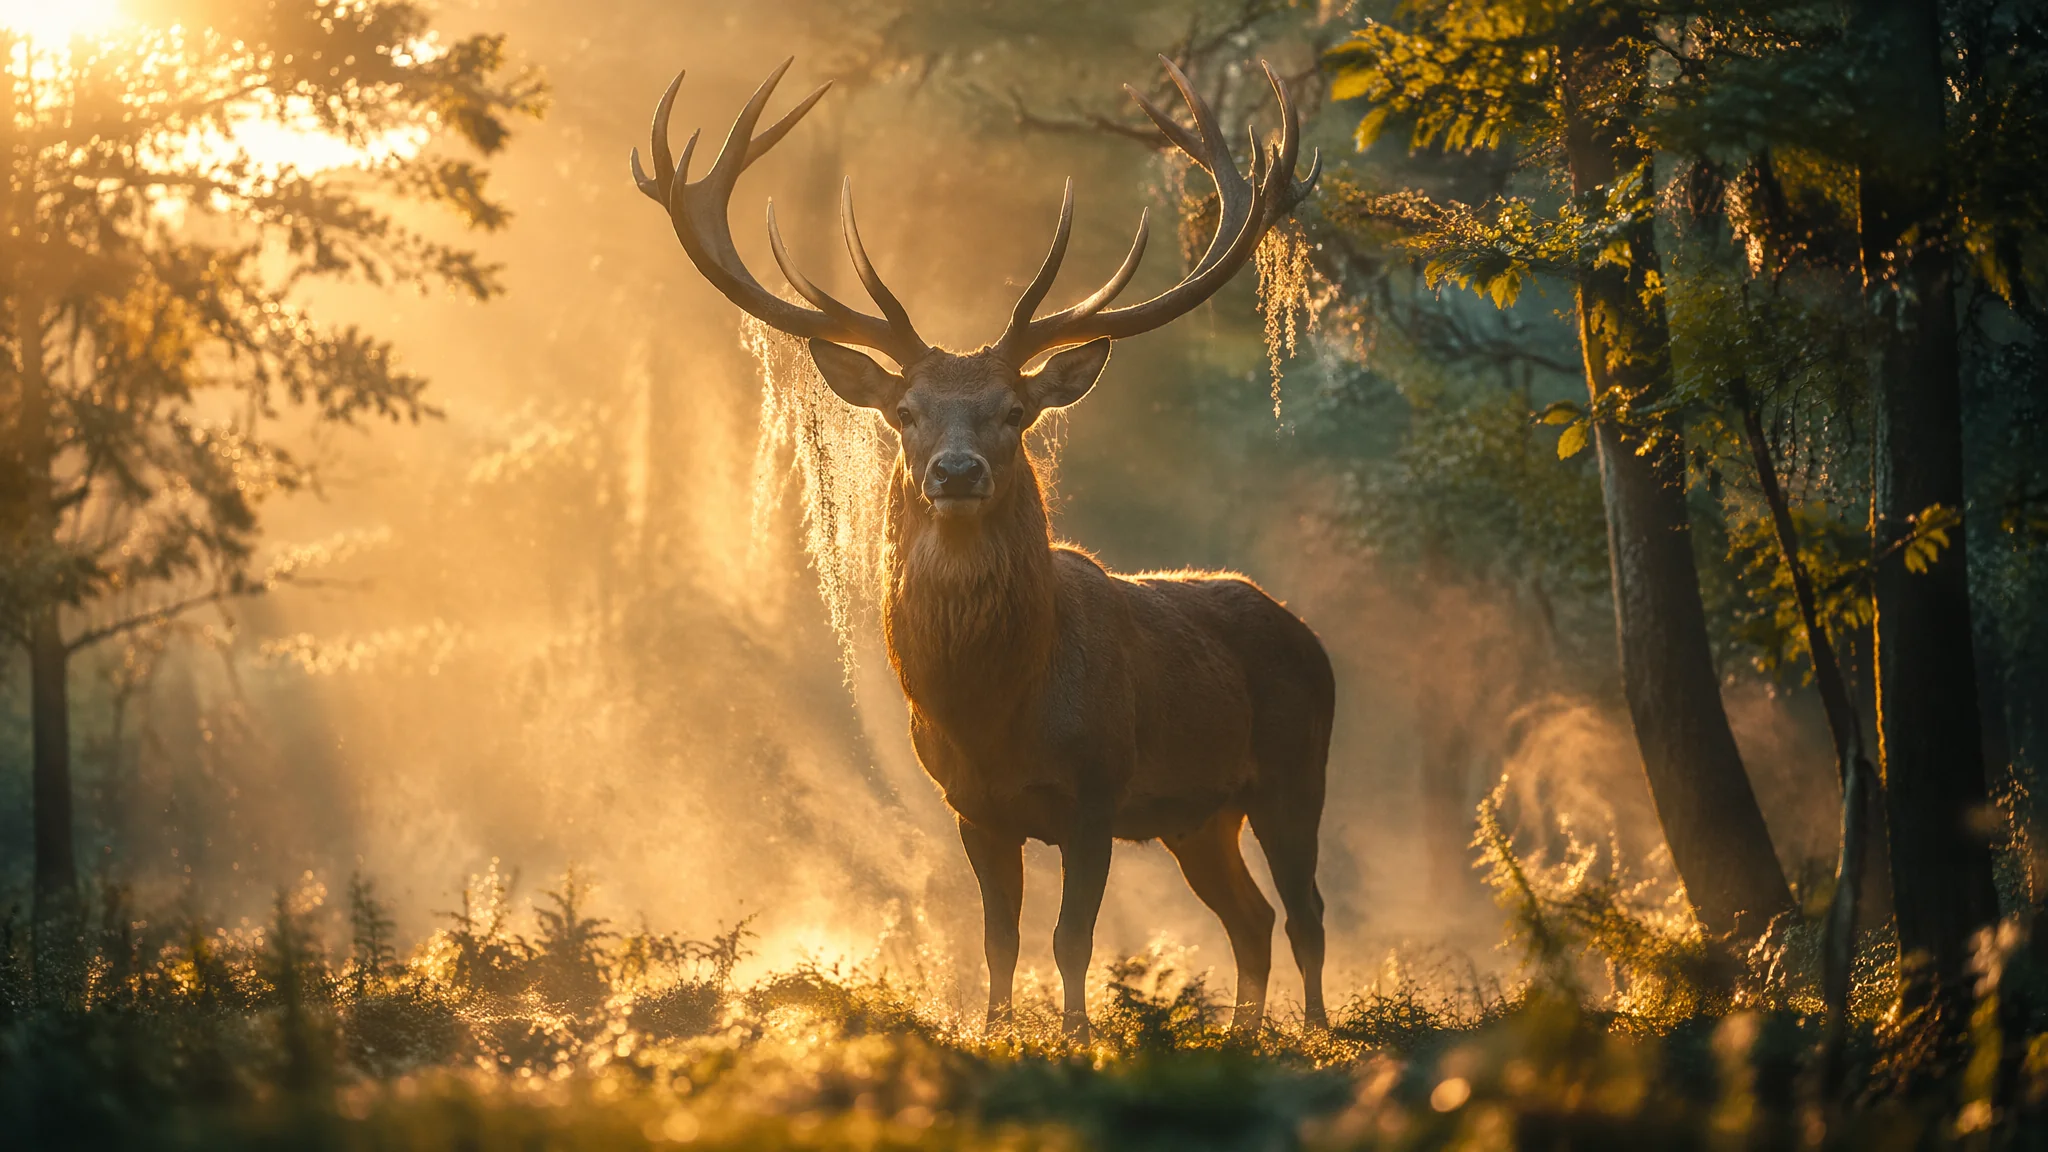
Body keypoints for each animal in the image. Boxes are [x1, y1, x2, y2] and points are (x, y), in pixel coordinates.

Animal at [632, 56, 1334, 1038]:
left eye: (1015, 410)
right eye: (905, 411)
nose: (956, 471)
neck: (995, 706)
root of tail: (1306, 632)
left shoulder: (1096, 788)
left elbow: (1072, 940)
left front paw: (1077, 1036)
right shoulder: (972, 807)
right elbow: (998, 942)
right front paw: (997, 1032)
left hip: (1293, 771)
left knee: (1306, 911)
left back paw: (1319, 1032)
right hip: (1197, 815)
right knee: (1253, 917)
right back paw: (1243, 1033)